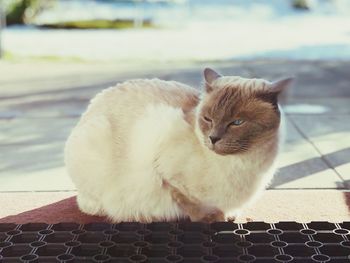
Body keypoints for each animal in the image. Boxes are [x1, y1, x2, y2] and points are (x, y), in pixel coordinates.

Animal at [64, 68, 292, 223]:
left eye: (237, 122)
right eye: (208, 119)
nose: (213, 138)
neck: (245, 164)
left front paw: (228, 215)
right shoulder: (164, 169)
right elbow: (190, 203)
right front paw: (213, 218)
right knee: (89, 204)